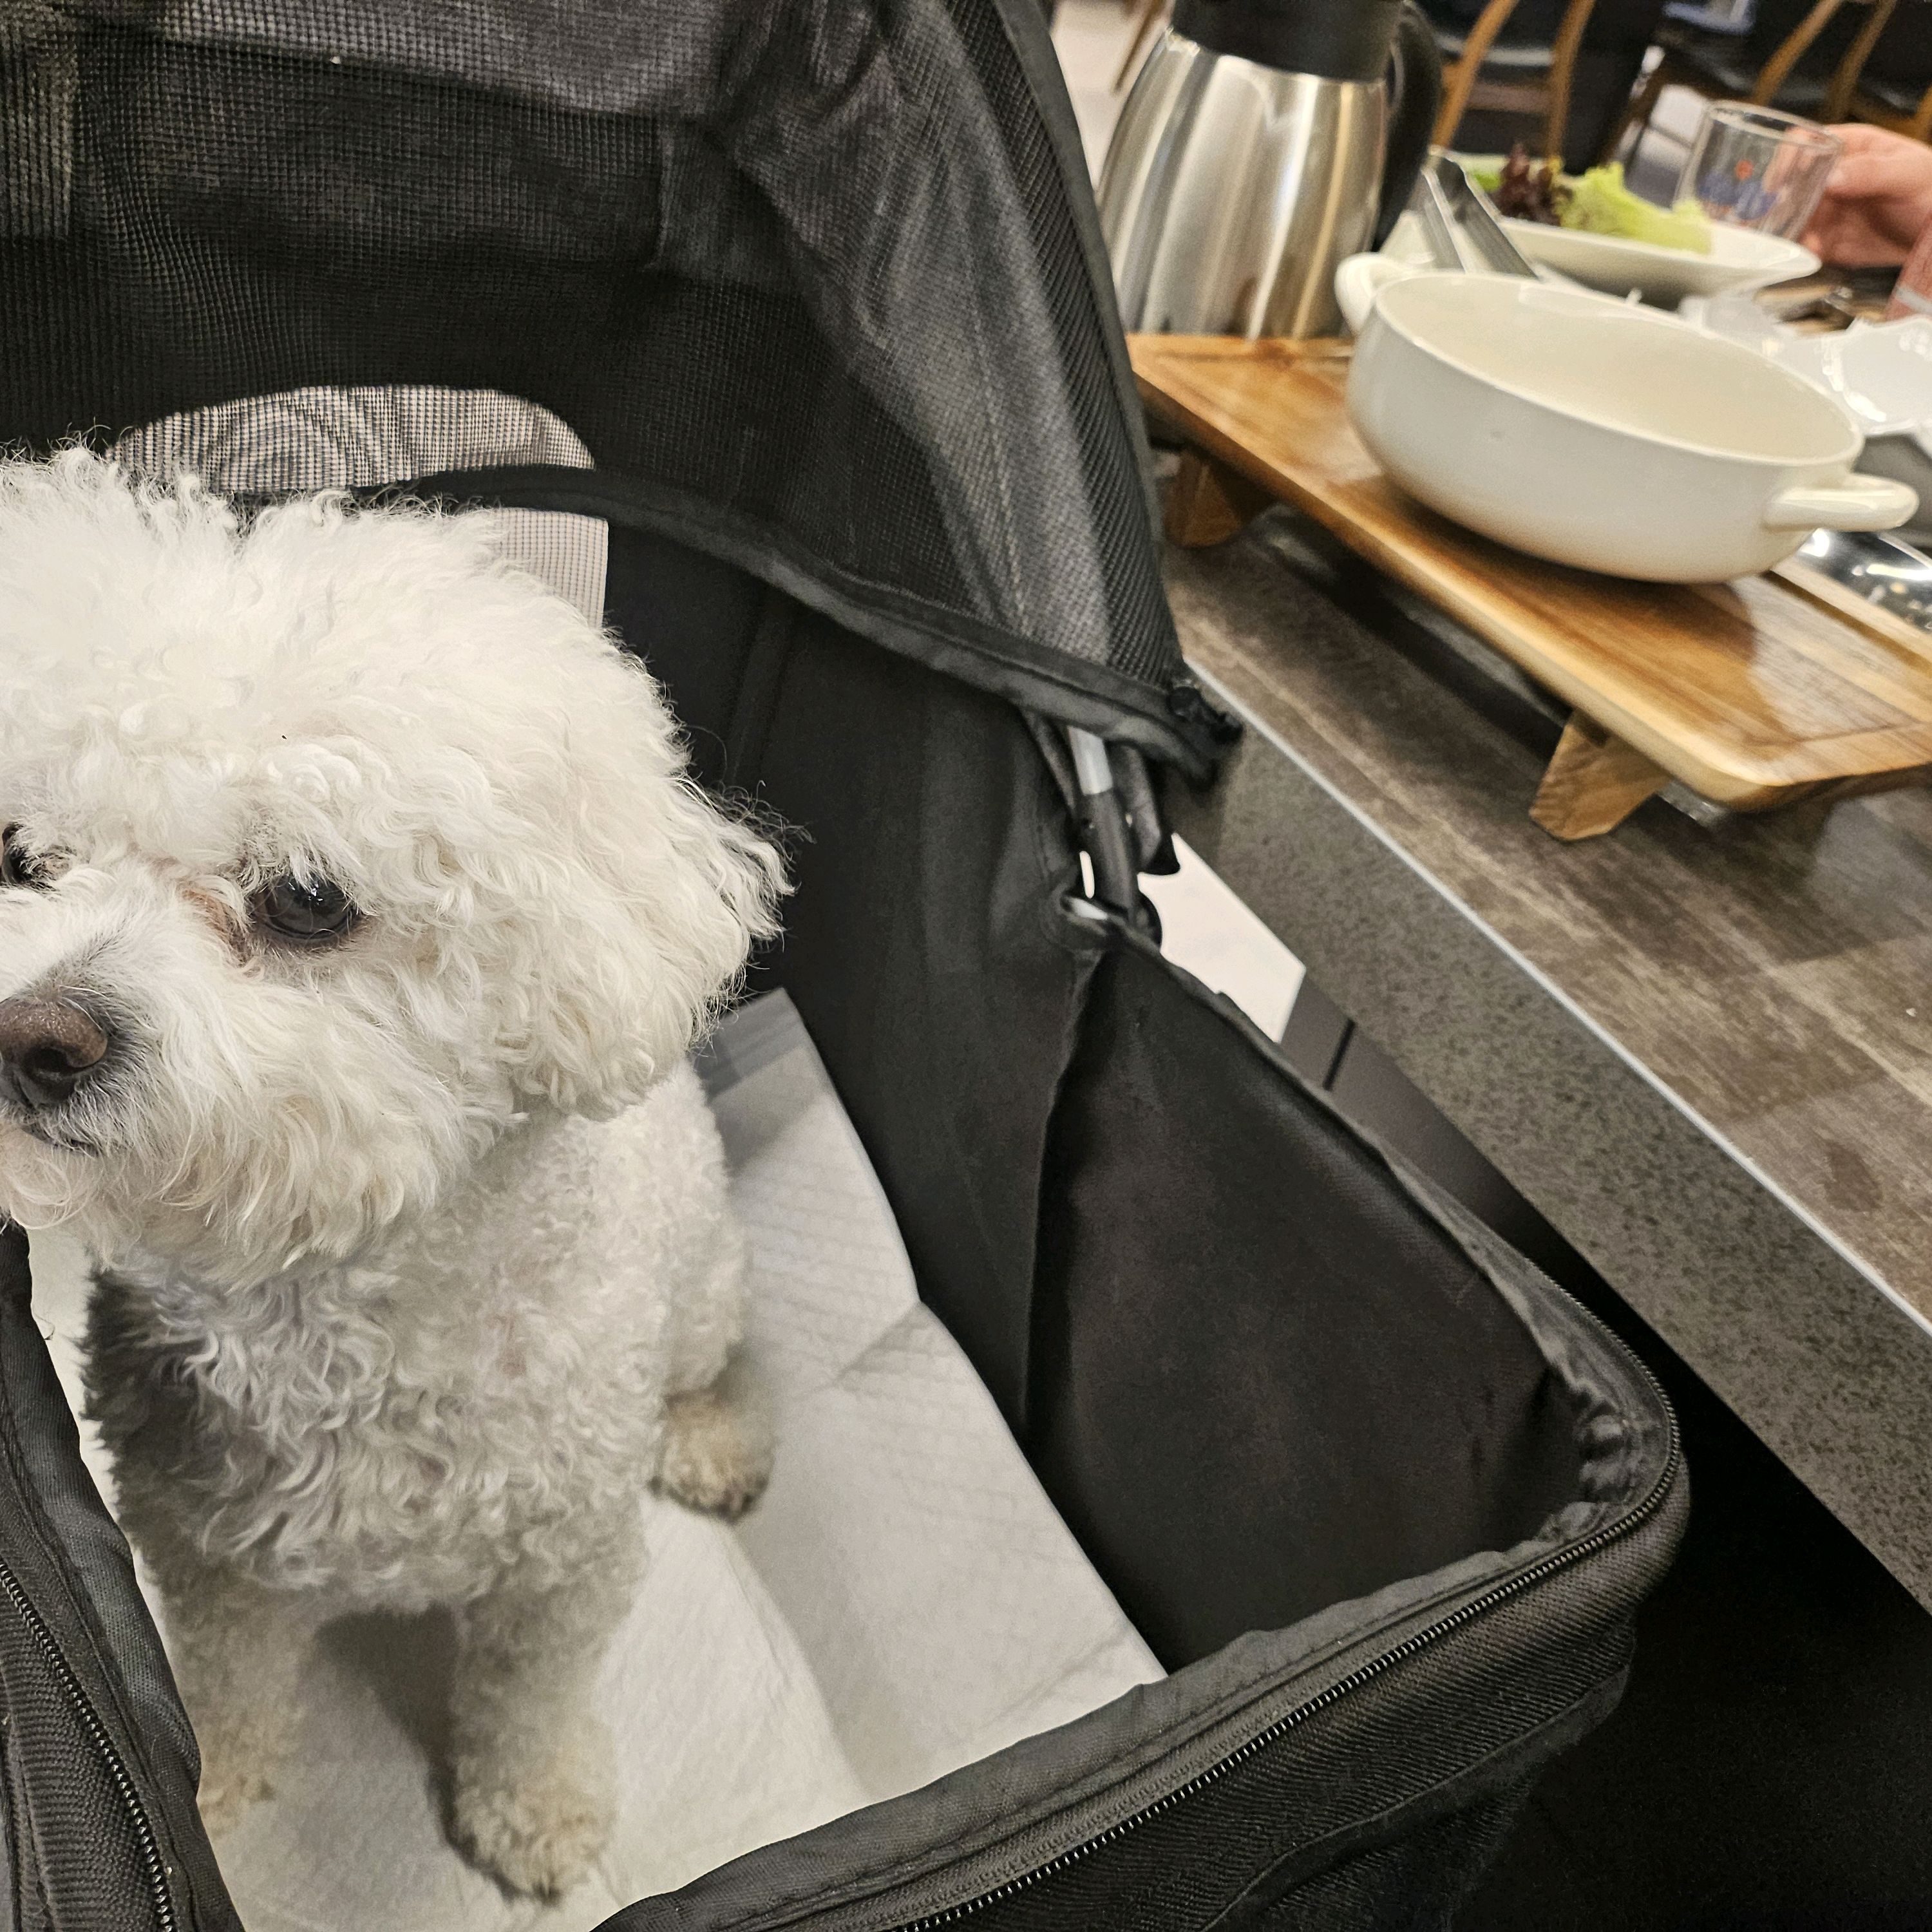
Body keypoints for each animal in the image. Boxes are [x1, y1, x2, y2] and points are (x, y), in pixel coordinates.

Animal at [0, 456, 792, 1901]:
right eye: (26, 857)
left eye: (308, 900)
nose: (33, 1039)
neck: (345, 1307)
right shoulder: (203, 1555)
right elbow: (224, 1685)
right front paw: (215, 1788)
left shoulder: (564, 1564)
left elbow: (531, 1697)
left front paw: (537, 1811)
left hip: (706, 1288)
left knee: (705, 1366)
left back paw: (709, 1438)